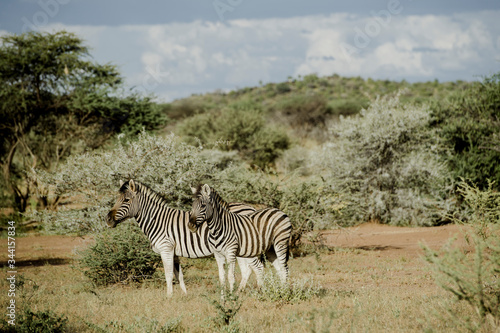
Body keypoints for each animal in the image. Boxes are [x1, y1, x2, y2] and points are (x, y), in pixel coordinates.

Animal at [104, 179, 264, 296]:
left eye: (126, 200)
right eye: (117, 199)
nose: (108, 220)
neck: (157, 220)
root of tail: (251, 208)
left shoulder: (166, 248)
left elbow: (168, 275)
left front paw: (169, 298)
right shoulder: (174, 252)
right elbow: (178, 274)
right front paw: (184, 296)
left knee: (257, 267)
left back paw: (260, 292)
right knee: (247, 270)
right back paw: (239, 293)